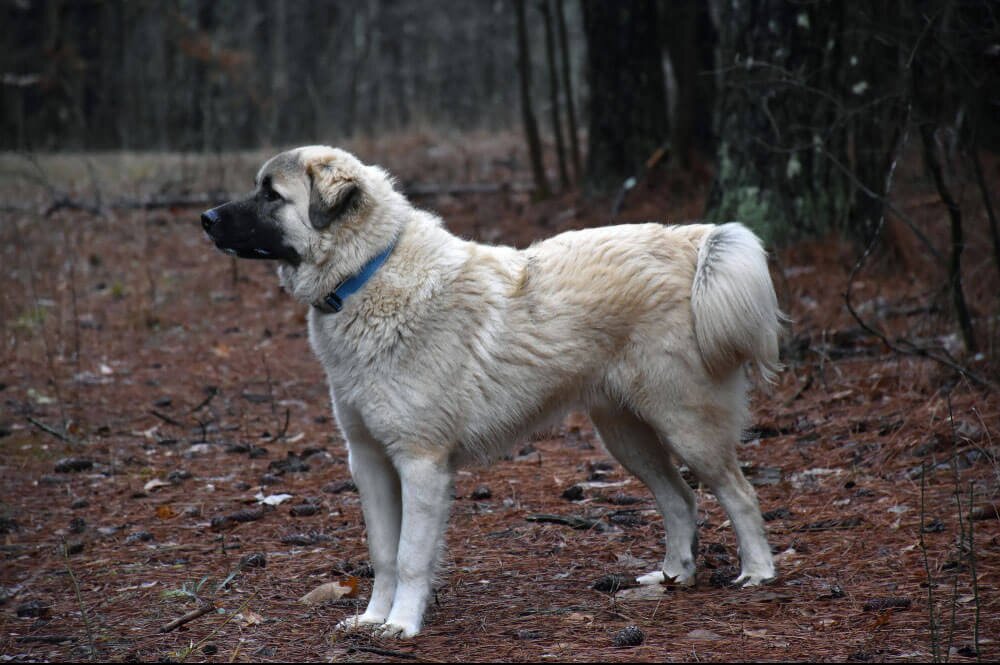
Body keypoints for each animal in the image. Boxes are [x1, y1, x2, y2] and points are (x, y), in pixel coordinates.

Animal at [201, 147, 780, 640]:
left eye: (272, 195)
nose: (205, 218)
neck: (368, 272)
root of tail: (690, 243)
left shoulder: (420, 464)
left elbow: (410, 556)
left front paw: (403, 625)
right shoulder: (368, 461)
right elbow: (383, 553)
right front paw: (371, 619)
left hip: (687, 426)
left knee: (739, 493)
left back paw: (757, 573)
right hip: (625, 435)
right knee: (680, 499)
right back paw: (673, 576)